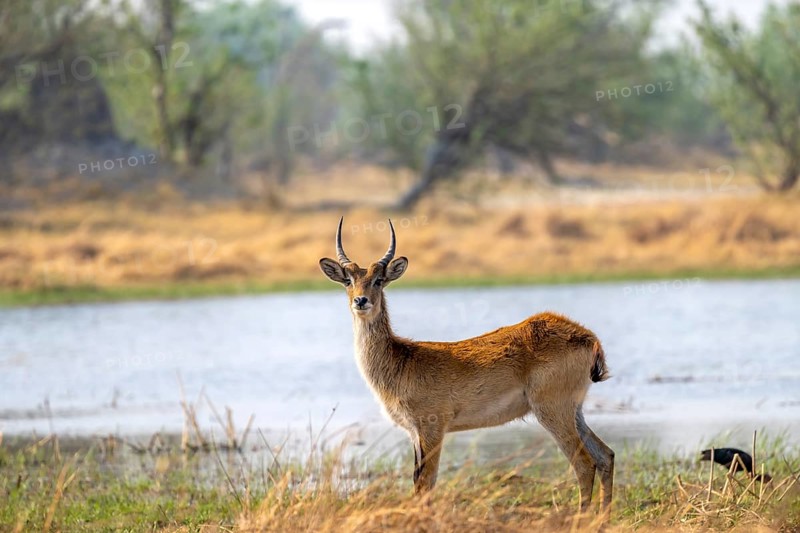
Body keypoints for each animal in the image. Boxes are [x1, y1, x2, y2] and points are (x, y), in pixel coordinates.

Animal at [319, 217, 615, 512]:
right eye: (348, 281)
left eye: (379, 280)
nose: (361, 301)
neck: (401, 360)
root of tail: (588, 337)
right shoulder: (415, 433)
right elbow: (418, 482)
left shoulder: (432, 428)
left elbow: (426, 483)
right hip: (574, 411)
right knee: (606, 456)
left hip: (553, 411)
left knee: (584, 464)